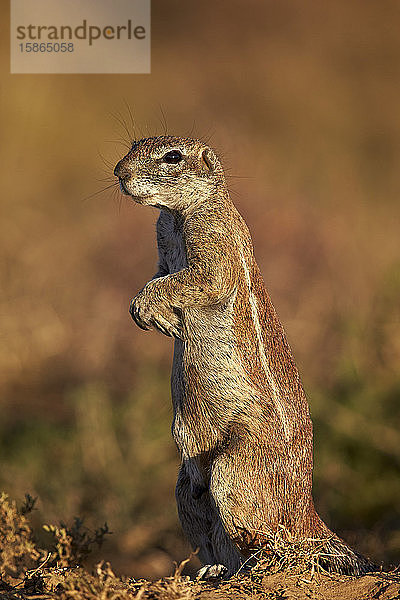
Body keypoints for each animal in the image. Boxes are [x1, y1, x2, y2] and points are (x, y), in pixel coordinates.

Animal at [114, 135, 374, 576]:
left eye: (172, 157)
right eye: (134, 145)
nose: (119, 172)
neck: (178, 214)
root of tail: (306, 512)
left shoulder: (213, 242)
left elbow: (195, 279)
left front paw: (147, 307)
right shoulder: (162, 246)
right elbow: (159, 274)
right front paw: (156, 318)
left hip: (234, 468)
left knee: (264, 536)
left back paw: (255, 564)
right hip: (186, 491)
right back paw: (214, 570)